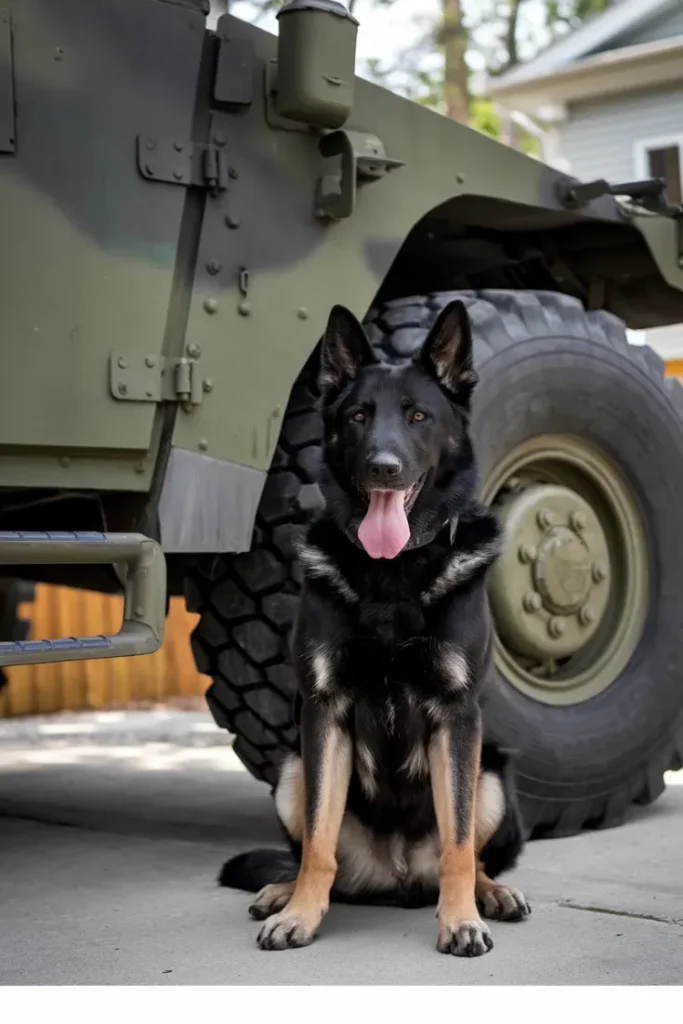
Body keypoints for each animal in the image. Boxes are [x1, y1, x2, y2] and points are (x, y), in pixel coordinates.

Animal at [222, 299, 532, 954]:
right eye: (359, 416)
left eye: (417, 416)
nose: (383, 468)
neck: (391, 574)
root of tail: (395, 876)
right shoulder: (324, 717)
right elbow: (317, 841)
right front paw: (300, 912)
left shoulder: (457, 719)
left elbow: (459, 842)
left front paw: (461, 918)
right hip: (292, 769)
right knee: (318, 857)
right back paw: (281, 892)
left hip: (490, 771)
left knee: (472, 853)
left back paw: (490, 895)